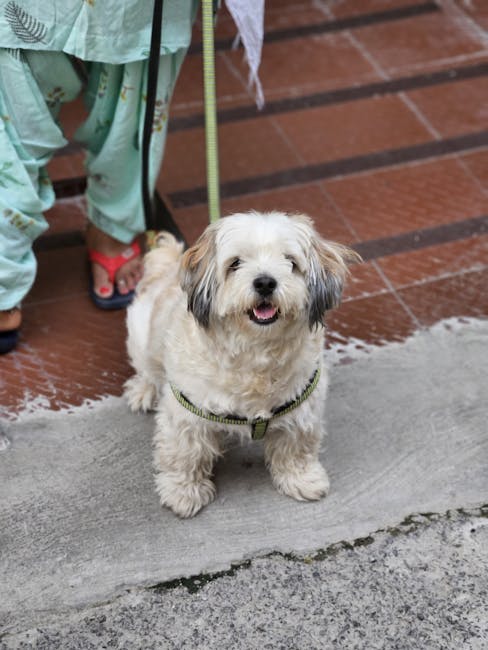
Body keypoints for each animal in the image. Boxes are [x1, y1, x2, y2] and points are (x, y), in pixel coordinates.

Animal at [124, 213, 360, 516]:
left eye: (290, 262)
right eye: (235, 263)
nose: (265, 283)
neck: (255, 353)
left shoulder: (303, 405)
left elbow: (296, 447)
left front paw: (302, 479)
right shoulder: (186, 413)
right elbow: (185, 454)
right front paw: (183, 492)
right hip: (141, 334)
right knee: (148, 370)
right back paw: (144, 390)